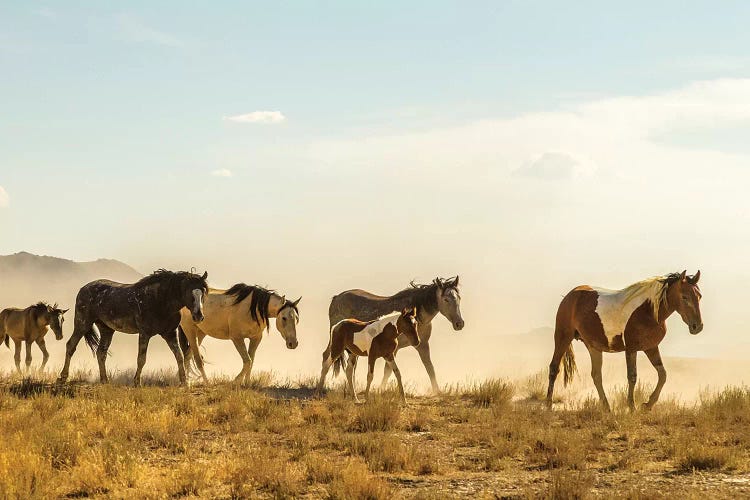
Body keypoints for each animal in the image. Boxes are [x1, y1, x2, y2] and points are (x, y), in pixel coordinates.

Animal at [58, 270, 209, 386]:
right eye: (190, 293)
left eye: (203, 292)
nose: (199, 316)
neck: (161, 300)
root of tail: (83, 289)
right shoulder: (144, 334)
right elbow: (141, 359)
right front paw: (137, 382)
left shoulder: (170, 334)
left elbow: (179, 356)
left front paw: (184, 382)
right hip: (82, 324)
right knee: (71, 345)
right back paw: (63, 377)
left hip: (106, 329)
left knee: (101, 352)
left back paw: (105, 380)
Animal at [328, 276, 464, 392]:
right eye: (446, 299)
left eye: (459, 298)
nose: (459, 324)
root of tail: (337, 297)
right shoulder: (394, 349)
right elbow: (388, 371)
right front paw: (381, 389)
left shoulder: (422, 345)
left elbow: (429, 367)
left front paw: (437, 391)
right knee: (328, 357)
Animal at [548, 272, 704, 412]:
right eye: (684, 297)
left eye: (699, 296)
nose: (697, 326)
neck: (649, 311)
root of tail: (570, 295)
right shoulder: (631, 349)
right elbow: (632, 377)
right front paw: (632, 407)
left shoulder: (651, 347)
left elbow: (663, 375)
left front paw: (647, 405)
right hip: (563, 336)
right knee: (554, 368)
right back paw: (548, 405)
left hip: (593, 346)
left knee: (596, 375)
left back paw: (607, 408)